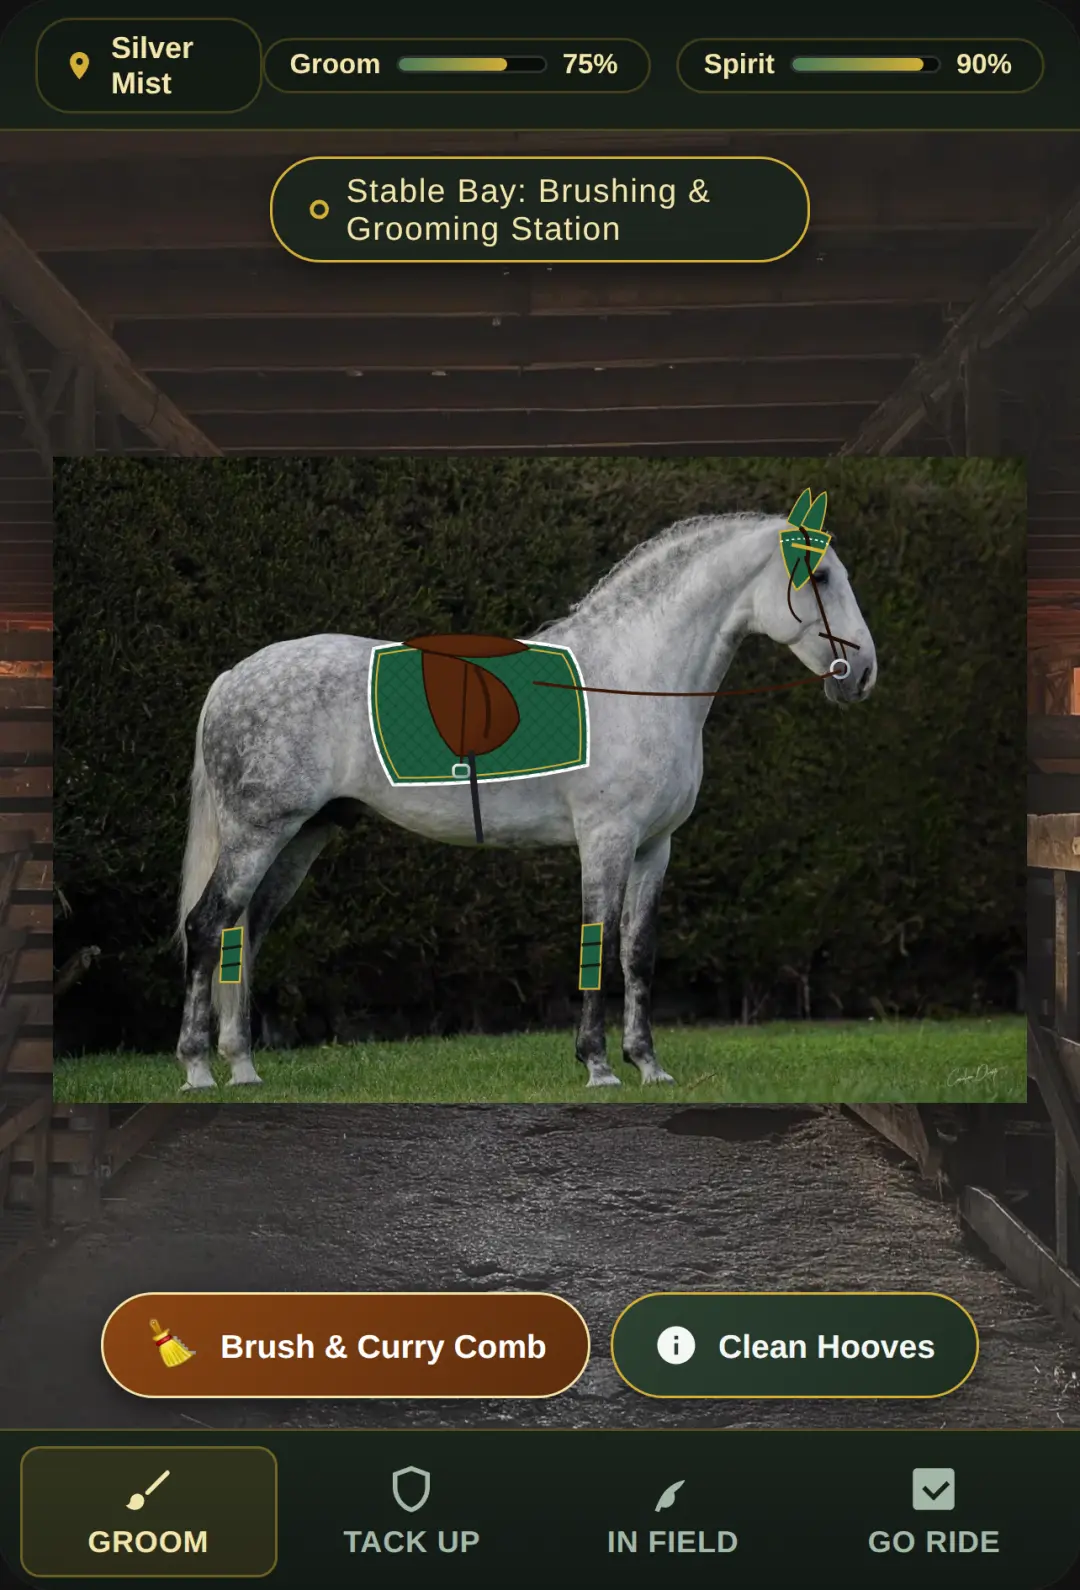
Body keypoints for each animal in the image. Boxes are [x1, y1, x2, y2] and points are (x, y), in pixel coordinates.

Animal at [175, 510, 877, 1092]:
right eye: (819, 575)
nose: (863, 673)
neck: (631, 678)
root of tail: (233, 677)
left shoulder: (655, 847)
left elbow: (637, 952)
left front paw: (648, 1065)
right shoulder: (606, 838)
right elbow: (599, 941)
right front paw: (598, 1066)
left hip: (302, 836)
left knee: (244, 932)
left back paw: (243, 1067)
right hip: (258, 833)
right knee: (207, 926)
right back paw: (198, 1069)